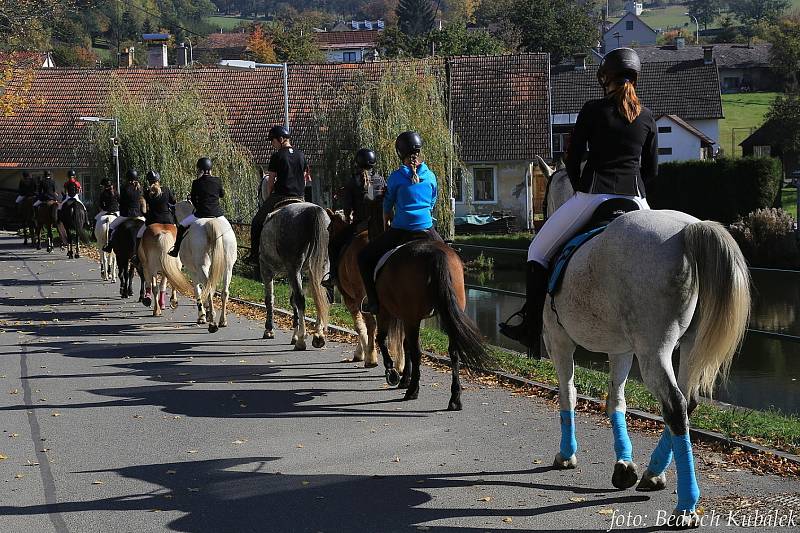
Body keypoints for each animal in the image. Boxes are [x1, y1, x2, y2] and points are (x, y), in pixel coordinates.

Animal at [175, 201, 238, 332]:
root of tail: (211, 222)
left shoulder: (193, 271)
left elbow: (197, 290)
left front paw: (202, 316)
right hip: (228, 268)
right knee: (224, 292)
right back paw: (222, 320)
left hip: (202, 267)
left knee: (209, 289)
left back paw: (212, 320)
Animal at [260, 201, 328, 350]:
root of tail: (313, 210)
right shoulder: (298, 273)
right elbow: (292, 301)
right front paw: (295, 334)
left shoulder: (267, 270)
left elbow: (269, 299)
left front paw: (269, 330)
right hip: (321, 268)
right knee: (321, 297)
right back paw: (318, 336)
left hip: (292, 268)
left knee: (301, 299)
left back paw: (301, 341)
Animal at [536, 155, 752, 528]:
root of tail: (688, 230)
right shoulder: (621, 350)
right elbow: (615, 400)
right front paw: (624, 465)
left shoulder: (559, 342)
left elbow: (568, 394)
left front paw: (566, 455)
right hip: (686, 348)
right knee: (687, 402)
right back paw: (654, 473)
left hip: (655, 352)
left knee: (675, 405)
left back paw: (686, 506)